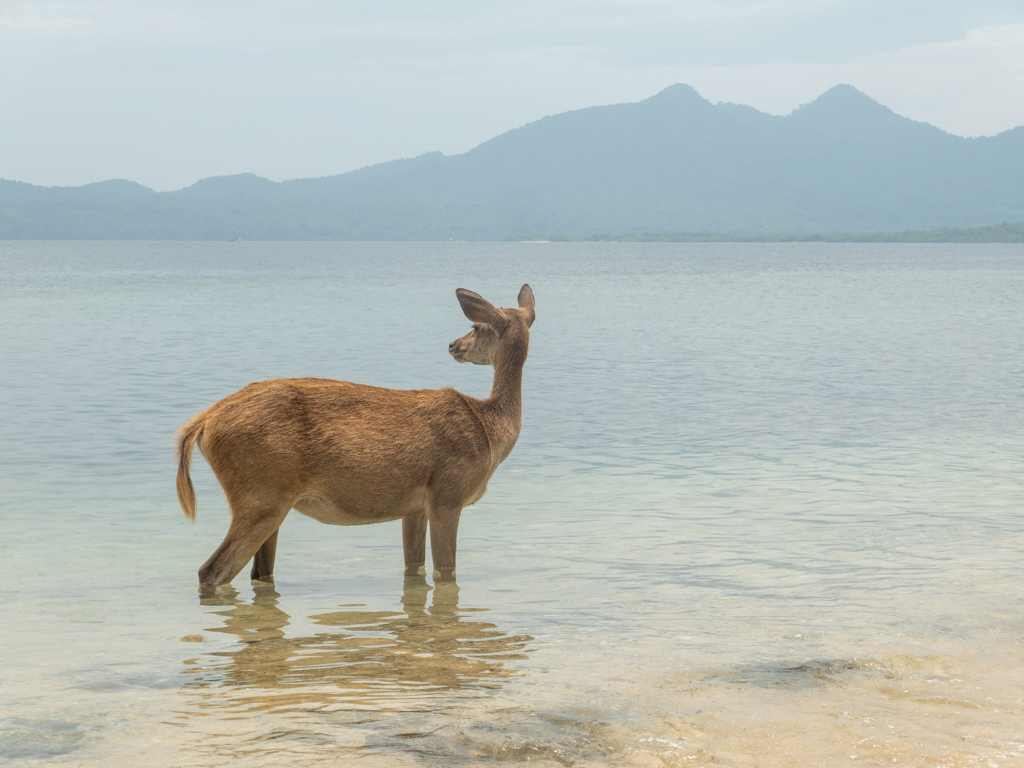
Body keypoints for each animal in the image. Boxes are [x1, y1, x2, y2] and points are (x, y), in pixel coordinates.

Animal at [176, 286, 536, 593]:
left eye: (475, 327)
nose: (452, 345)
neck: (489, 431)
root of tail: (202, 424)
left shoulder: (415, 506)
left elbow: (414, 568)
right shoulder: (448, 493)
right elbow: (445, 572)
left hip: (268, 500)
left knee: (258, 572)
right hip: (260, 494)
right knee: (212, 570)